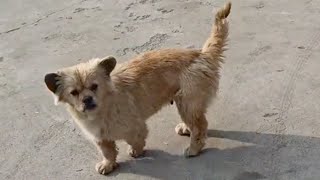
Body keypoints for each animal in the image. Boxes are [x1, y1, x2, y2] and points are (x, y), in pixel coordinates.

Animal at [43, 2, 231, 175]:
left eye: (94, 86)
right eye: (74, 93)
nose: (87, 99)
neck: (103, 109)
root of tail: (201, 54)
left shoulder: (137, 127)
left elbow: (136, 141)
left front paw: (136, 152)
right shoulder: (100, 138)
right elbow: (107, 152)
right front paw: (108, 164)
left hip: (187, 102)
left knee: (200, 126)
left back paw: (194, 149)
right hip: (185, 102)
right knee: (198, 121)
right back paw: (186, 128)